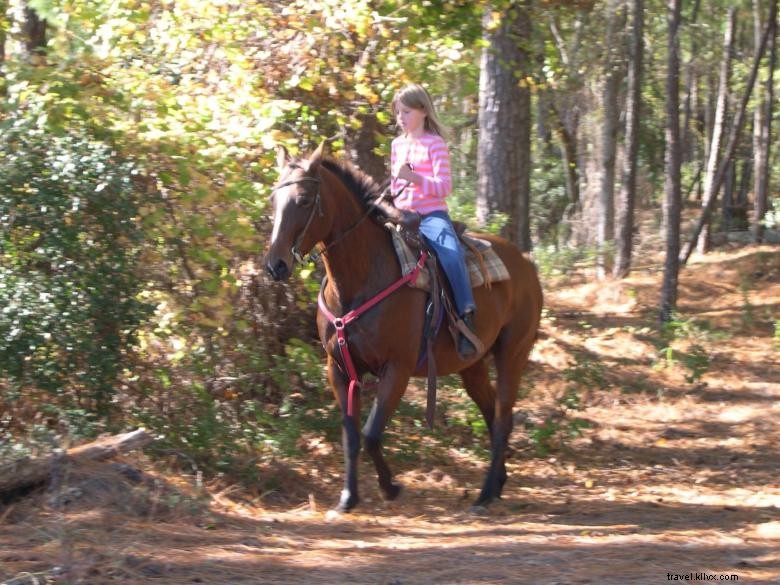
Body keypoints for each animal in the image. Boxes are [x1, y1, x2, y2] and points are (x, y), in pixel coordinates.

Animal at [266, 145, 540, 512]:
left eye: (305, 199)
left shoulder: (397, 368)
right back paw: (496, 484)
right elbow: (351, 436)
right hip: (473, 366)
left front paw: (391, 487)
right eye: (274, 200)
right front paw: (348, 498)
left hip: (512, 354)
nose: (275, 265)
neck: (360, 279)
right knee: (492, 410)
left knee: (501, 418)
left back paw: (483, 495)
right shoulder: (338, 370)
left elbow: (371, 434)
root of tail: (526, 263)